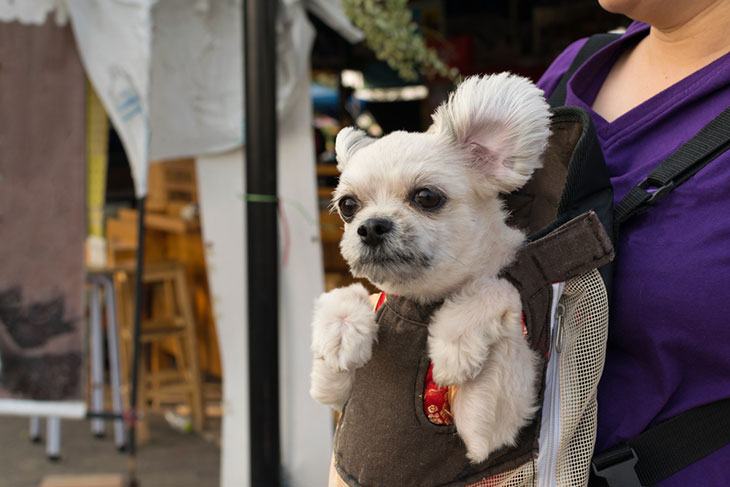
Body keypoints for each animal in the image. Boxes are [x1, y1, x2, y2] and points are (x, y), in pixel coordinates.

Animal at [310, 74, 548, 464]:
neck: (419, 300)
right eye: (348, 206)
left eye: (426, 197)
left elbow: (497, 287)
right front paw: (342, 332)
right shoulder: (334, 396)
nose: (370, 226)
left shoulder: (488, 430)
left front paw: (456, 341)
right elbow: (346, 293)